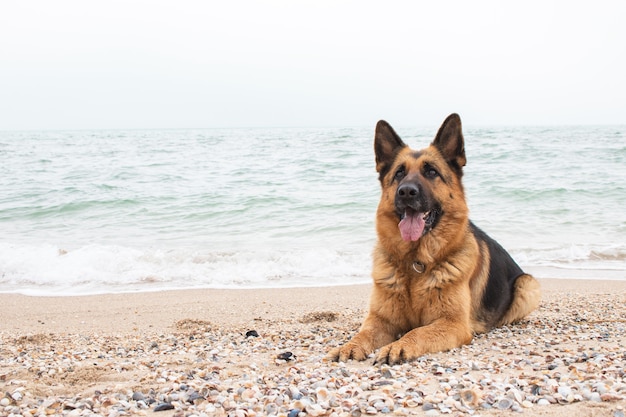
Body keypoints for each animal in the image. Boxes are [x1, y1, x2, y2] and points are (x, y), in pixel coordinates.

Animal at [330, 114, 540, 364]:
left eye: (431, 172)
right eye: (399, 173)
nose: (406, 192)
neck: (415, 263)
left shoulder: (453, 324)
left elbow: (418, 331)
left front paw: (399, 345)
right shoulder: (381, 320)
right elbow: (364, 332)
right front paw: (350, 345)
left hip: (527, 285)